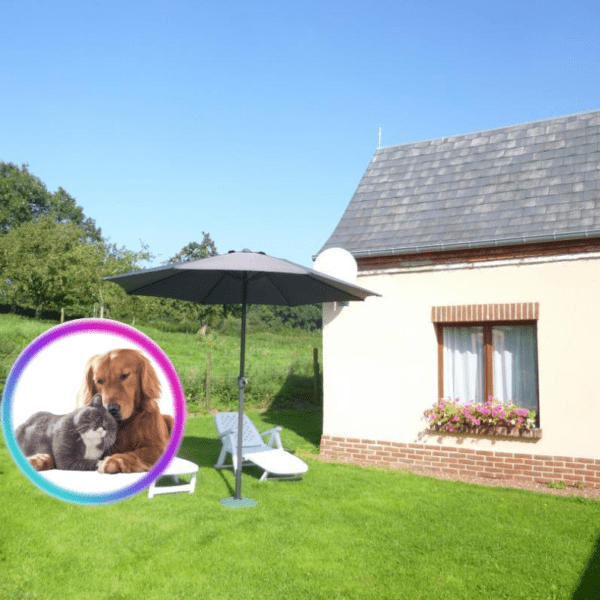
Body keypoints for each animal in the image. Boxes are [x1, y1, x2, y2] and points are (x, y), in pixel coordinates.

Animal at [75, 346, 173, 474]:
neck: (123, 425)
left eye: (125, 375)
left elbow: (136, 453)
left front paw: (113, 460)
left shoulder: (158, 446)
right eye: (99, 381)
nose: (110, 408)